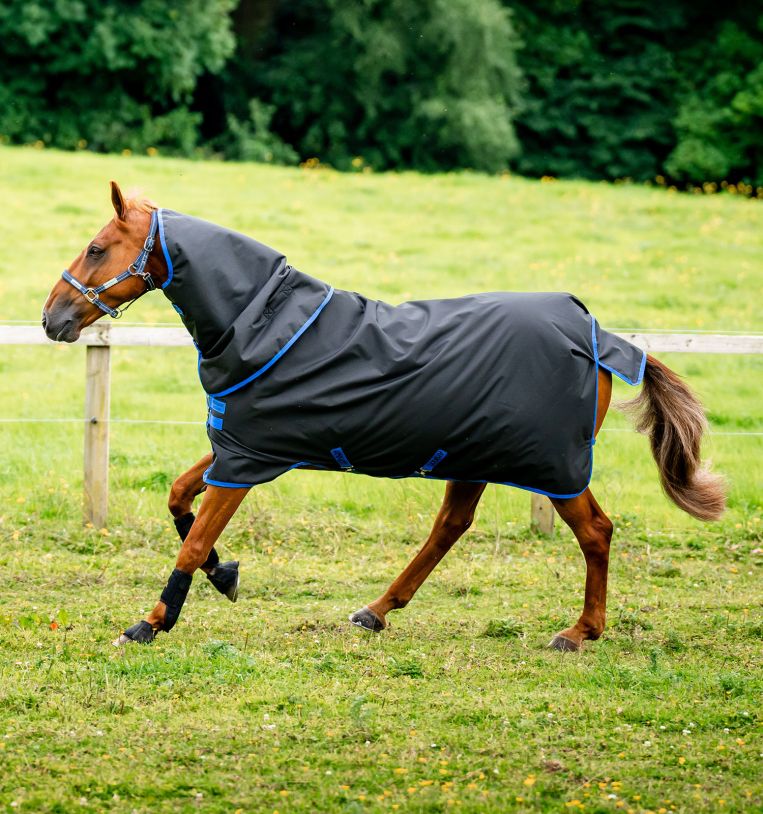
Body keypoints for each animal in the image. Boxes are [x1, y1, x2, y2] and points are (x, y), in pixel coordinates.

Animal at [42, 182, 726, 651]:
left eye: (97, 247)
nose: (53, 318)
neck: (265, 324)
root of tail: (600, 336)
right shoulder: (243, 443)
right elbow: (180, 499)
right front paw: (225, 575)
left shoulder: (246, 459)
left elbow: (193, 539)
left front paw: (152, 621)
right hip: (472, 454)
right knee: (450, 526)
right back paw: (376, 610)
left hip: (553, 467)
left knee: (596, 532)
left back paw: (580, 631)